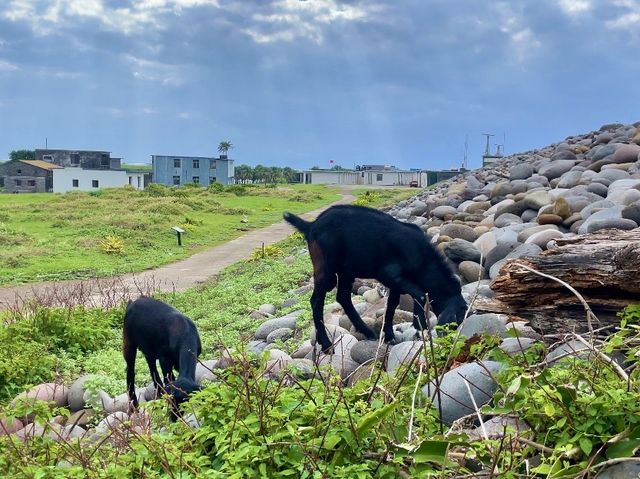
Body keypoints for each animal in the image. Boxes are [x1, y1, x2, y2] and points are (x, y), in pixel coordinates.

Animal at [284, 204, 464, 354]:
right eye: (454, 323)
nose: (452, 344)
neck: (422, 257)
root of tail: (311, 226)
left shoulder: (396, 284)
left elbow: (392, 305)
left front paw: (390, 335)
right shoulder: (389, 274)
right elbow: (419, 294)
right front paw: (419, 325)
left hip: (346, 271)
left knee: (343, 297)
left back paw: (366, 331)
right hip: (326, 268)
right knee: (316, 301)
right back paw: (327, 344)